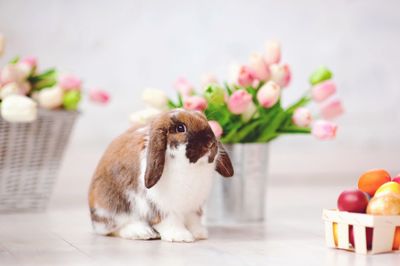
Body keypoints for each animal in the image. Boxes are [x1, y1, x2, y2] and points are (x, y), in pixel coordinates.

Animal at [86, 109, 233, 242]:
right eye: (180, 128)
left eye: (207, 122)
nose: (211, 143)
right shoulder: (159, 206)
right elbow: (169, 221)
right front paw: (181, 237)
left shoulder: (193, 206)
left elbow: (194, 220)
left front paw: (199, 233)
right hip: (113, 210)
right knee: (114, 229)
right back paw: (143, 233)